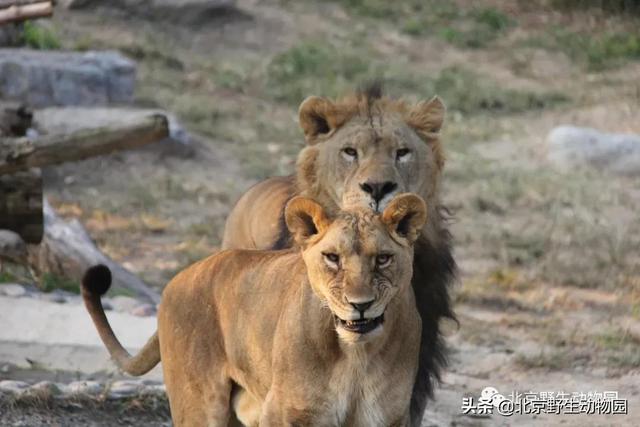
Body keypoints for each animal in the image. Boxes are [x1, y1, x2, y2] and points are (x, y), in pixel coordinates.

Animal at [82, 195, 428, 427]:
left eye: (382, 258)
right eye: (332, 257)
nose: (361, 304)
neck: (354, 356)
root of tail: (177, 279)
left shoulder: (388, 416)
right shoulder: (283, 412)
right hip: (200, 406)